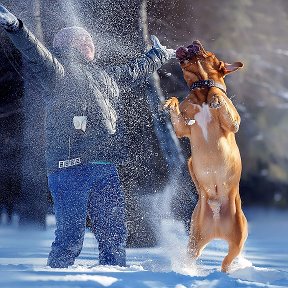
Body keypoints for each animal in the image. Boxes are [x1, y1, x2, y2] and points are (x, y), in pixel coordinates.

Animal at [165, 40, 249, 272]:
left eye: (208, 52)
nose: (195, 42)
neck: (201, 88)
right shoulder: (182, 128)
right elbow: (177, 109)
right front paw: (170, 102)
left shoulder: (234, 123)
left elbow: (220, 97)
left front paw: (216, 98)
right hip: (195, 240)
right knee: (193, 256)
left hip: (237, 240)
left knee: (227, 261)